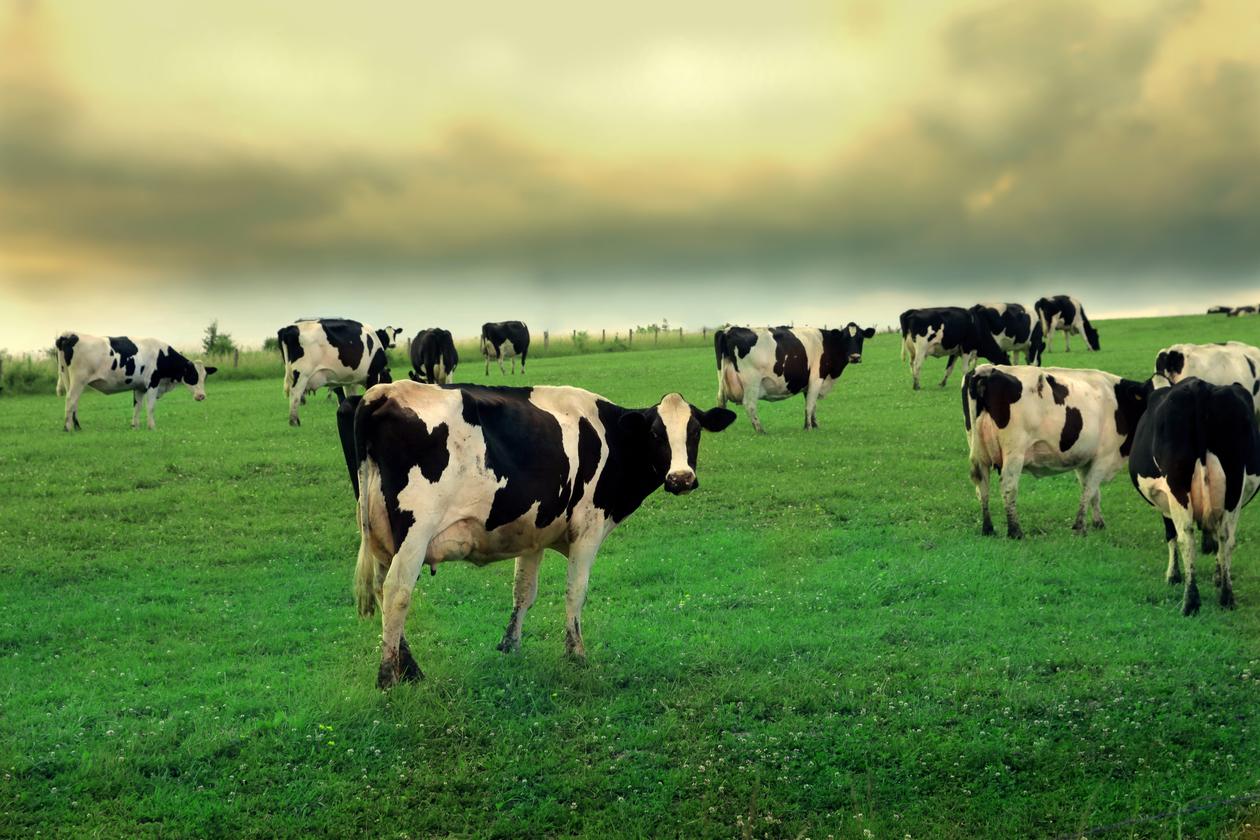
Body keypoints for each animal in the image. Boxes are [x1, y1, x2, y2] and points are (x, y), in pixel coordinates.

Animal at [54, 332, 219, 430]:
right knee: (70, 400)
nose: (201, 396)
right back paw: (68, 428)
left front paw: (135, 425)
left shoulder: (139, 387)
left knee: (73, 402)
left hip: (68, 378)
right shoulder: (153, 383)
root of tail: (69, 335)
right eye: (192, 375)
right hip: (78, 380)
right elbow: (150, 406)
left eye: (205, 377)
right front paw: (152, 426)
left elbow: (137, 406)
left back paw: (76, 426)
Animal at [335, 382, 735, 690]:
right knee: (397, 592)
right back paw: (388, 677)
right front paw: (576, 653)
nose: (681, 478)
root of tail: (384, 391)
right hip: (415, 530)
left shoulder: (534, 532)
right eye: (655, 434)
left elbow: (524, 592)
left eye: (695, 431)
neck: (611, 437)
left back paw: (410, 669)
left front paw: (509, 646)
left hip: (381, 534)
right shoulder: (588, 528)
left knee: (382, 587)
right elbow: (576, 591)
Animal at [715, 318, 871, 430]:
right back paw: (760, 430)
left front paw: (814, 425)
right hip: (751, 381)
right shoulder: (817, 378)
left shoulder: (808, 383)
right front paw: (808, 428)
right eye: (845, 338)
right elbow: (810, 405)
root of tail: (728, 330)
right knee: (750, 404)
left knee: (721, 401)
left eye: (861, 338)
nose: (855, 357)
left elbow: (812, 405)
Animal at [962, 365, 1154, 539]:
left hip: (978, 453)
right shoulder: (1104, 457)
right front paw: (1080, 527)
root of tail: (986, 370)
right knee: (1008, 486)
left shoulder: (1084, 460)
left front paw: (1098, 523)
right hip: (1014, 452)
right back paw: (1015, 531)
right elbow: (1090, 489)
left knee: (982, 486)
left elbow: (1093, 492)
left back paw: (988, 529)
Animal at [1134, 377, 1260, 614]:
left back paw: (1190, 601)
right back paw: (1226, 596)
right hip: (1234, 482)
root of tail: (1200, 386)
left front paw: (1173, 576)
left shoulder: (1164, 502)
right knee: (1226, 536)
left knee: (1186, 536)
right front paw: (1218, 577)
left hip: (1177, 484)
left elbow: (1171, 535)